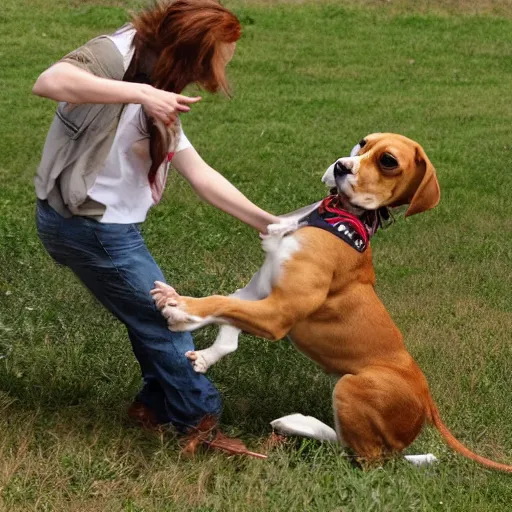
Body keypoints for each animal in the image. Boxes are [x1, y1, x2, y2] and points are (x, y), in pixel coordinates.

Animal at [151, 133, 512, 472]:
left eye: (388, 161)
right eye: (363, 143)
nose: (340, 166)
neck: (335, 219)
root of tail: (426, 399)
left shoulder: (278, 312)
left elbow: (217, 304)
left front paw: (180, 308)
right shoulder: (257, 291)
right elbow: (228, 324)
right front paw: (205, 355)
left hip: (354, 387)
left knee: (363, 457)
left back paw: (301, 426)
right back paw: (295, 423)